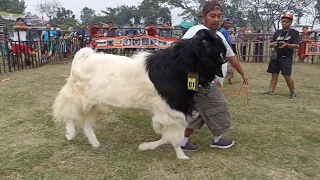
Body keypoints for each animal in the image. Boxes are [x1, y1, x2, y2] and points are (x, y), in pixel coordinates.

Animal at [52, 28, 226, 160]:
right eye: (207, 43)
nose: (224, 57)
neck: (177, 67)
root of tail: (83, 56)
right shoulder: (173, 111)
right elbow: (172, 137)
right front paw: (181, 155)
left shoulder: (171, 113)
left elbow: (167, 135)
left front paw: (146, 146)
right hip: (79, 96)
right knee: (67, 110)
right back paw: (70, 134)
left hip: (95, 103)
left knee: (87, 123)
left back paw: (95, 143)